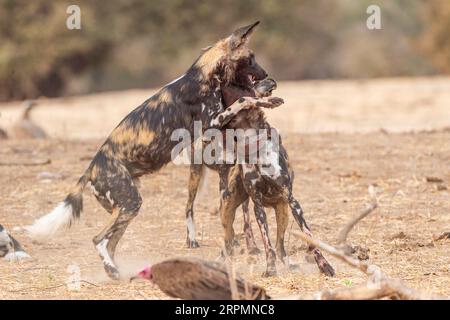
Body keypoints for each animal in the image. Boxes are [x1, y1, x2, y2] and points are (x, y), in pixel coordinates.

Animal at [24, 20, 284, 280]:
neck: (206, 75)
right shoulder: (213, 121)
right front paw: (267, 99)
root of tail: (92, 167)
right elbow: (244, 100)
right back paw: (113, 271)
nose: (266, 75)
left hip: (125, 207)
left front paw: (268, 99)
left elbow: (249, 99)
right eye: (251, 58)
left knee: (111, 242)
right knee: (99, 239)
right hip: (130, 203)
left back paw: (118, 271)